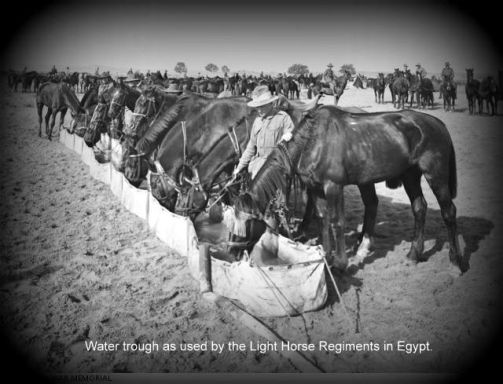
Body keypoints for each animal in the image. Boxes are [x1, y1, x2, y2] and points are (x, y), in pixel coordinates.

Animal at [230, 105, 466, 272]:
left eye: (247, 223)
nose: (231, 251)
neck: (312, 142)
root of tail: (438, 123)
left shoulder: (334, 187)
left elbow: (337, 222)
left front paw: (340, 263)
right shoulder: (316, 189)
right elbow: (323, 220)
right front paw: (326, 255)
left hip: (436, 174)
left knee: (448, 212)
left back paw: (456, 261)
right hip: (410, 176)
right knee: (419, 208)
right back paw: (413, 254)